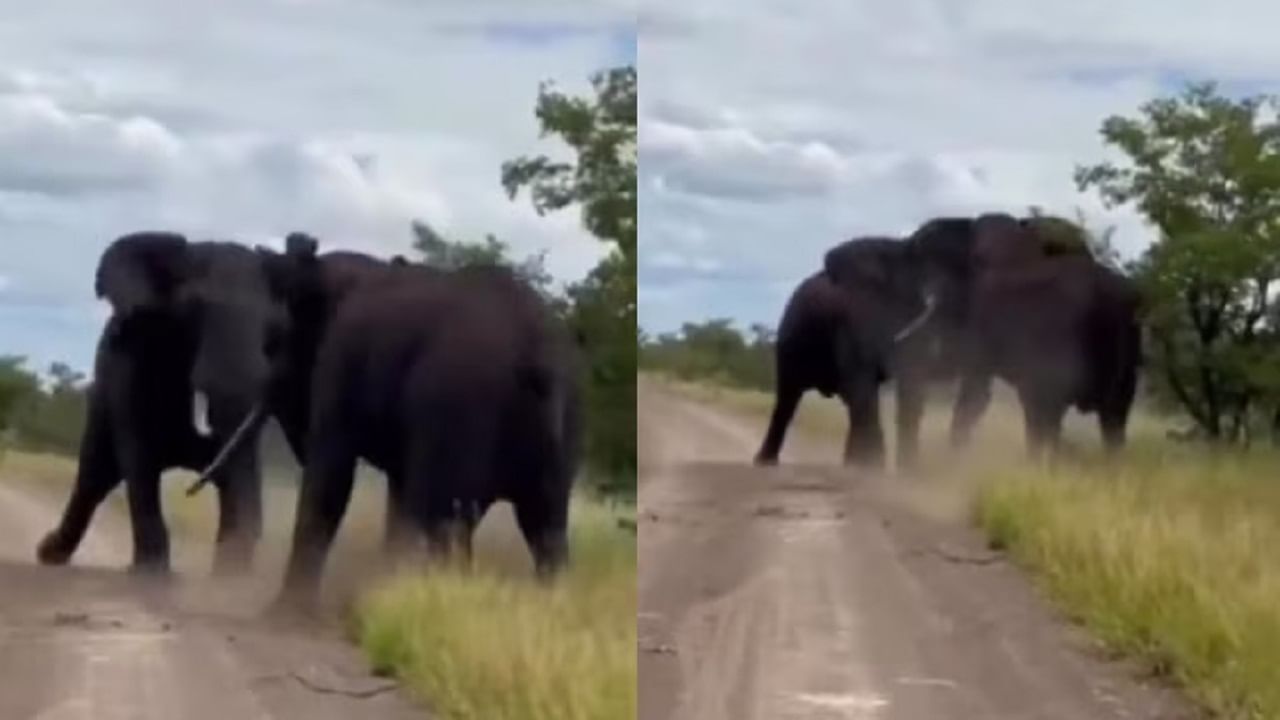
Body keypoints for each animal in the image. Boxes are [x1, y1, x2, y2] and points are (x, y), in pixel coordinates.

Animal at [36, 233, 284, 573]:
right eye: (195, 307)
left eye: (273, 325)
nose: (191, 490)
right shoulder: (131, 363)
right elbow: (140, 461)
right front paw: (150, 575)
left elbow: (241, 474)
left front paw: (229, 580)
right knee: (95, 475)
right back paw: (49, 554)